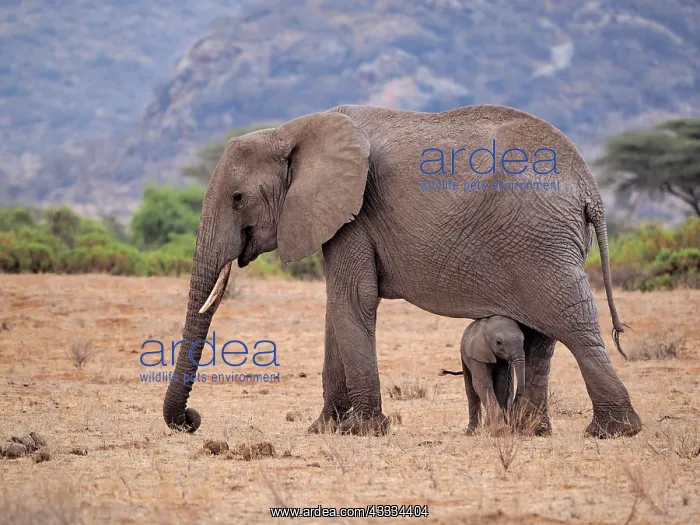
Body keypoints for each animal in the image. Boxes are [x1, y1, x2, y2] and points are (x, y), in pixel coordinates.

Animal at [161, 103, 643, 439]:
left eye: (237, 198)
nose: (191, 420)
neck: (290, 132)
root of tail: (590, 189)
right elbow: (338, 309)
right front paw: (325, 429)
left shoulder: (355, 214)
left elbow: (351, 301)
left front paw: (365, 431)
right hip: (547, 244)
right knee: (542, 336)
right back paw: (532, 432)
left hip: (541, 244)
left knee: (573, 325)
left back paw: (613, 432)